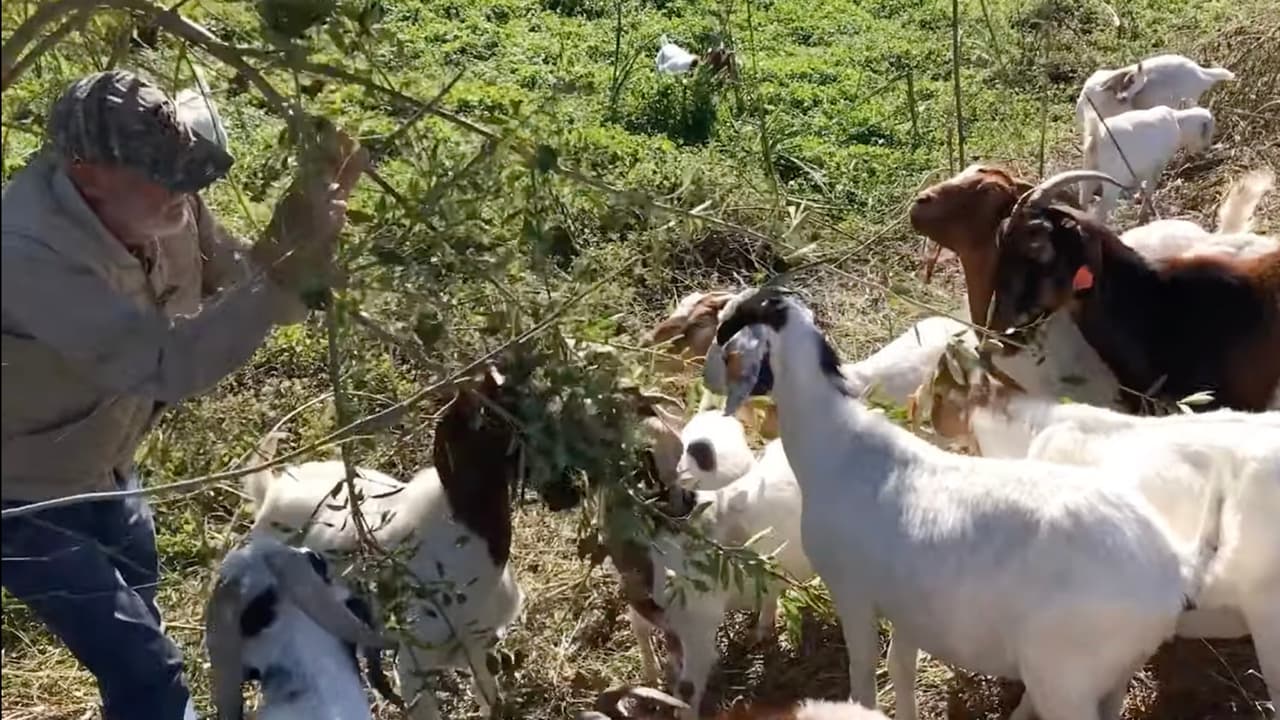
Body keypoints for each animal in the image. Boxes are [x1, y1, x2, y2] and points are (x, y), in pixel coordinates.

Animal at [704, 286, 1224, 720]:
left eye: (726, 333)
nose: (706, 379)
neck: (837, 444)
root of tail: (1175, 568)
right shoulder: (906, 606)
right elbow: (901, 669)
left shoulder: (852, 591)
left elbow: (864, 672)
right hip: (1112, 672)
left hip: (1066, 676)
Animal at [1079, 105, 1216, 221]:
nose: (1207, 148)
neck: (1178, 123)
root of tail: (1097, 133)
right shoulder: (1157, 167)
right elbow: (1150, 188)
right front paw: (1143, 214)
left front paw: (1138, 197)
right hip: (1113, 178)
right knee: (1101, 210)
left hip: (1090, 169)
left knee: (1084, 197)